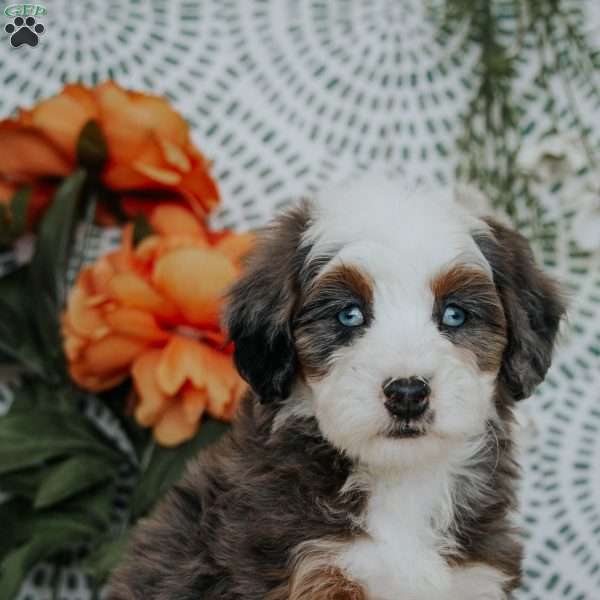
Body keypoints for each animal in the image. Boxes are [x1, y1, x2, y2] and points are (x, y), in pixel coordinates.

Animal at [109, 176, 568, 596]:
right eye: (349, 315)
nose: (407, 394)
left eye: (454, 315)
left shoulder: (474, 576)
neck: (403, 484)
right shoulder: (309, 568)